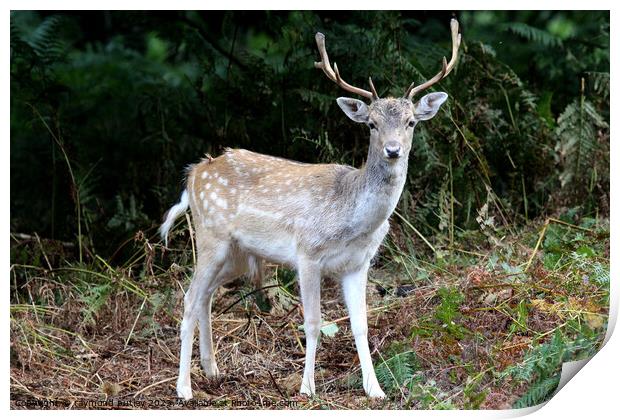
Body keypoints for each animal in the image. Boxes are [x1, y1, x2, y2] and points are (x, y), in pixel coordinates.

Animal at [160, 19, 460, 400]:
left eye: (410, 122)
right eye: (372, 124)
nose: (393, 150)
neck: (352, 220)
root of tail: (194, 174)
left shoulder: (358, 264)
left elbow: (361, 325)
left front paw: (375, 390)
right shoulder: (307, 253)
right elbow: (314, 322)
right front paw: (307, 388)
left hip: (237, 254)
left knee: (205, 297)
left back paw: (212, 370)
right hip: (211, 236)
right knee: (188, 299)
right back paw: (184, 388)